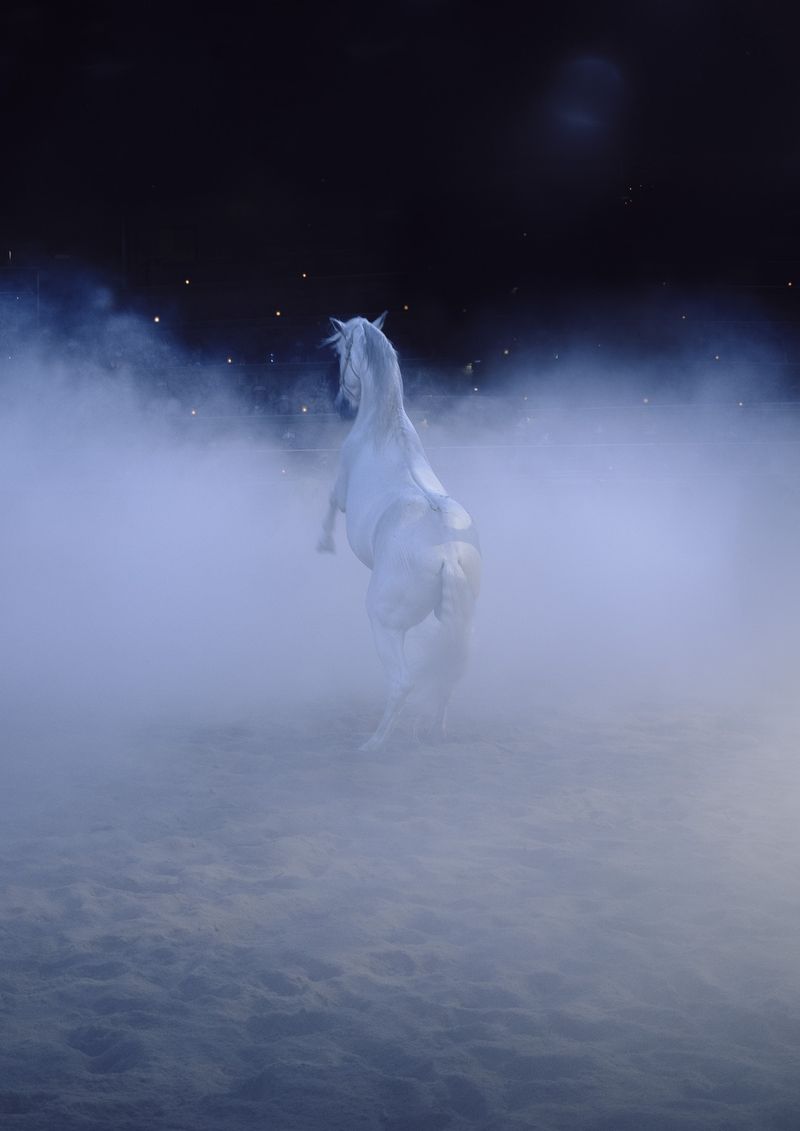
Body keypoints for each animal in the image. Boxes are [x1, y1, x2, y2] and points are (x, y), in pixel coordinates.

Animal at [318, 312, 481, 751]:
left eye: (341, 353)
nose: (341, 404)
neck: (384, 428)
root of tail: (448, 557)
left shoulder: (340, 491)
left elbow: (328, 505)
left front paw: (324, 545)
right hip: (457, 621)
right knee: (449, 672)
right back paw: (436, 729)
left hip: (386, 626)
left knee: (403, 682)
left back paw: (374, 743)